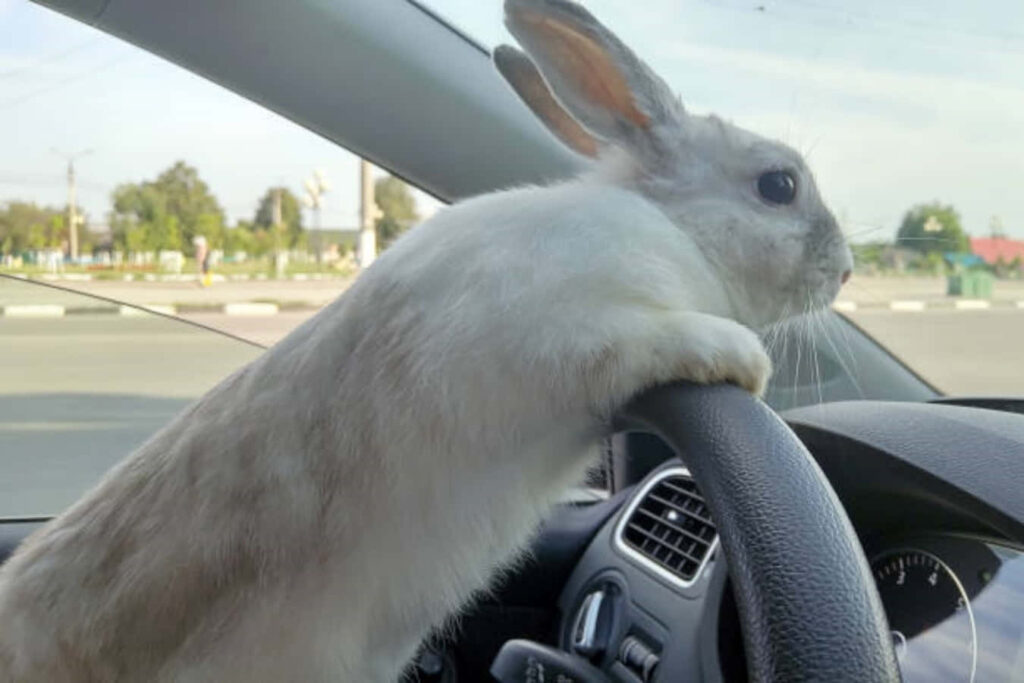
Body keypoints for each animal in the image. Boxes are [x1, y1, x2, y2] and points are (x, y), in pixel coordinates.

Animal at [0, 0, 852, 681]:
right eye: (778, 185)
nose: (845, 268)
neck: (675, 231)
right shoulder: (575, 332)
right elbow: (655, 342)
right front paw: (746, 361)